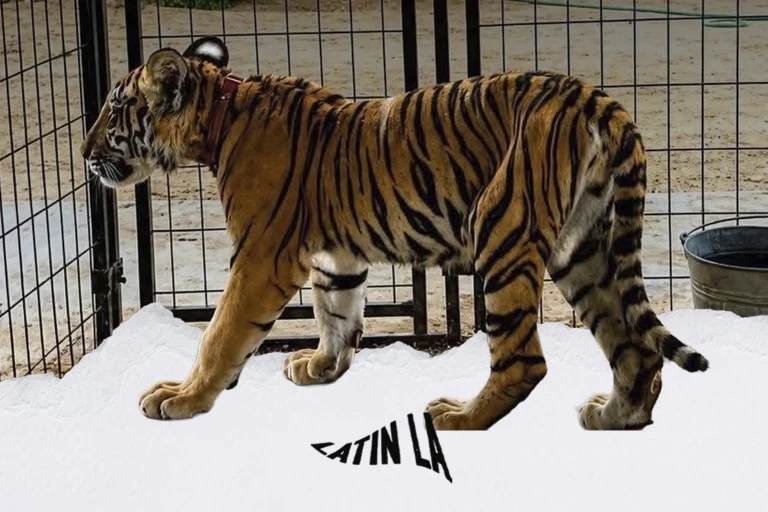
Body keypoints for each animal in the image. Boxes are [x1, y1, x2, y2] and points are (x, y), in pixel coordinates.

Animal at [80, 36, 708, 431]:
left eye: (113, 111)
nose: (83, 154)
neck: (216, 115)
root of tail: (595, 97)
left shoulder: (261, 256)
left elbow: (220, 334)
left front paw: (183, 398)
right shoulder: (333, 255)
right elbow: (335, 315)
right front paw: (320, 368)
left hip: (502, 227)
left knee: (525, 360)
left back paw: (458, 418)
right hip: (585, 249)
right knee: (634, 348)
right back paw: (614, 417)